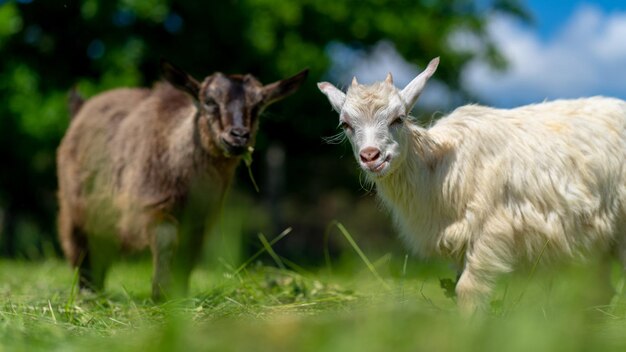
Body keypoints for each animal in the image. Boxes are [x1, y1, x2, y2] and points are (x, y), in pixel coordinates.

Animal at [57, 61, 306, 300]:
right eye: (209, 101)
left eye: (258, 105)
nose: (238, 136)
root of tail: (80, 107)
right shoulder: (151, 205)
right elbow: (166, 241)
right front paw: (161, 293)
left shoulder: (199, 220)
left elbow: (188, 257)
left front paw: (179, 295)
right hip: (75, 209)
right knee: (82, 251)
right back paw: (89, 294)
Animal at [320, 58, 620, 314]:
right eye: (346, 124)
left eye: (399, 118)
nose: (371, 156)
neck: (439, 167)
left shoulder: (492, 227)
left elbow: (468, 289)